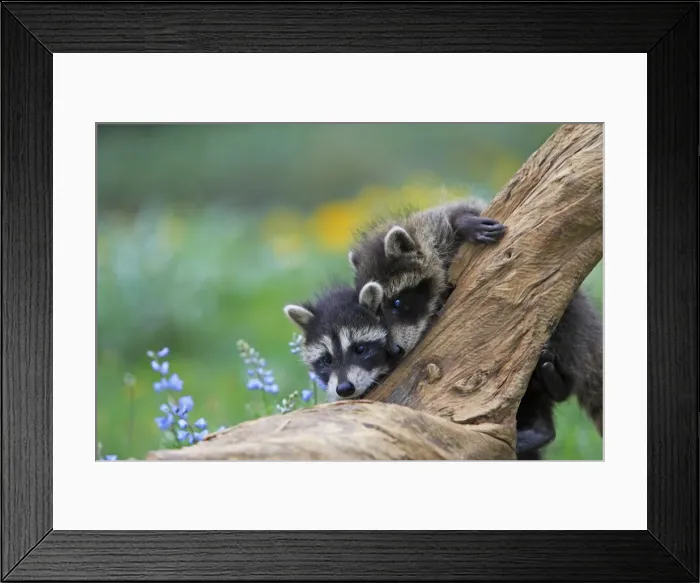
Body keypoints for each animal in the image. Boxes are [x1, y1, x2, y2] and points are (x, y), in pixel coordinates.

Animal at [348, 198, 603, 460]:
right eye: (377, 314)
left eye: (397, 303)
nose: (394, 351)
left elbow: (458, 210)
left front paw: (463, 222)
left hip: (569, 319)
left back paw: (560, 384)